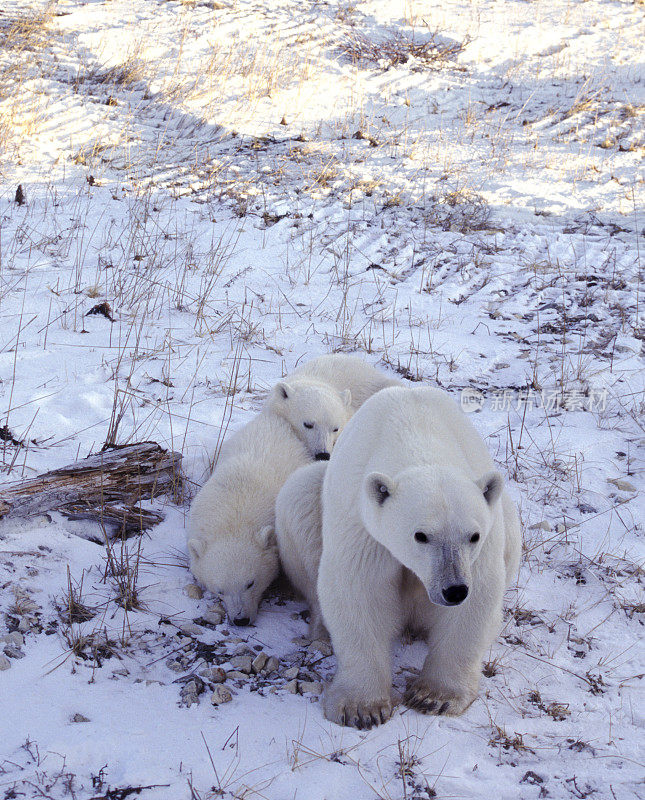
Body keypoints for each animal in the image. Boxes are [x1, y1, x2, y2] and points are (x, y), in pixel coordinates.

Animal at [314, 384, 520, 728]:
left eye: (473, 536)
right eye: (420, 535)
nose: (454, 590)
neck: (416, 432)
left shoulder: (484, 539)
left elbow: (478, 596)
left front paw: (434, 697)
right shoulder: (363, 527)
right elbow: (359, 590)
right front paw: (361, 708)